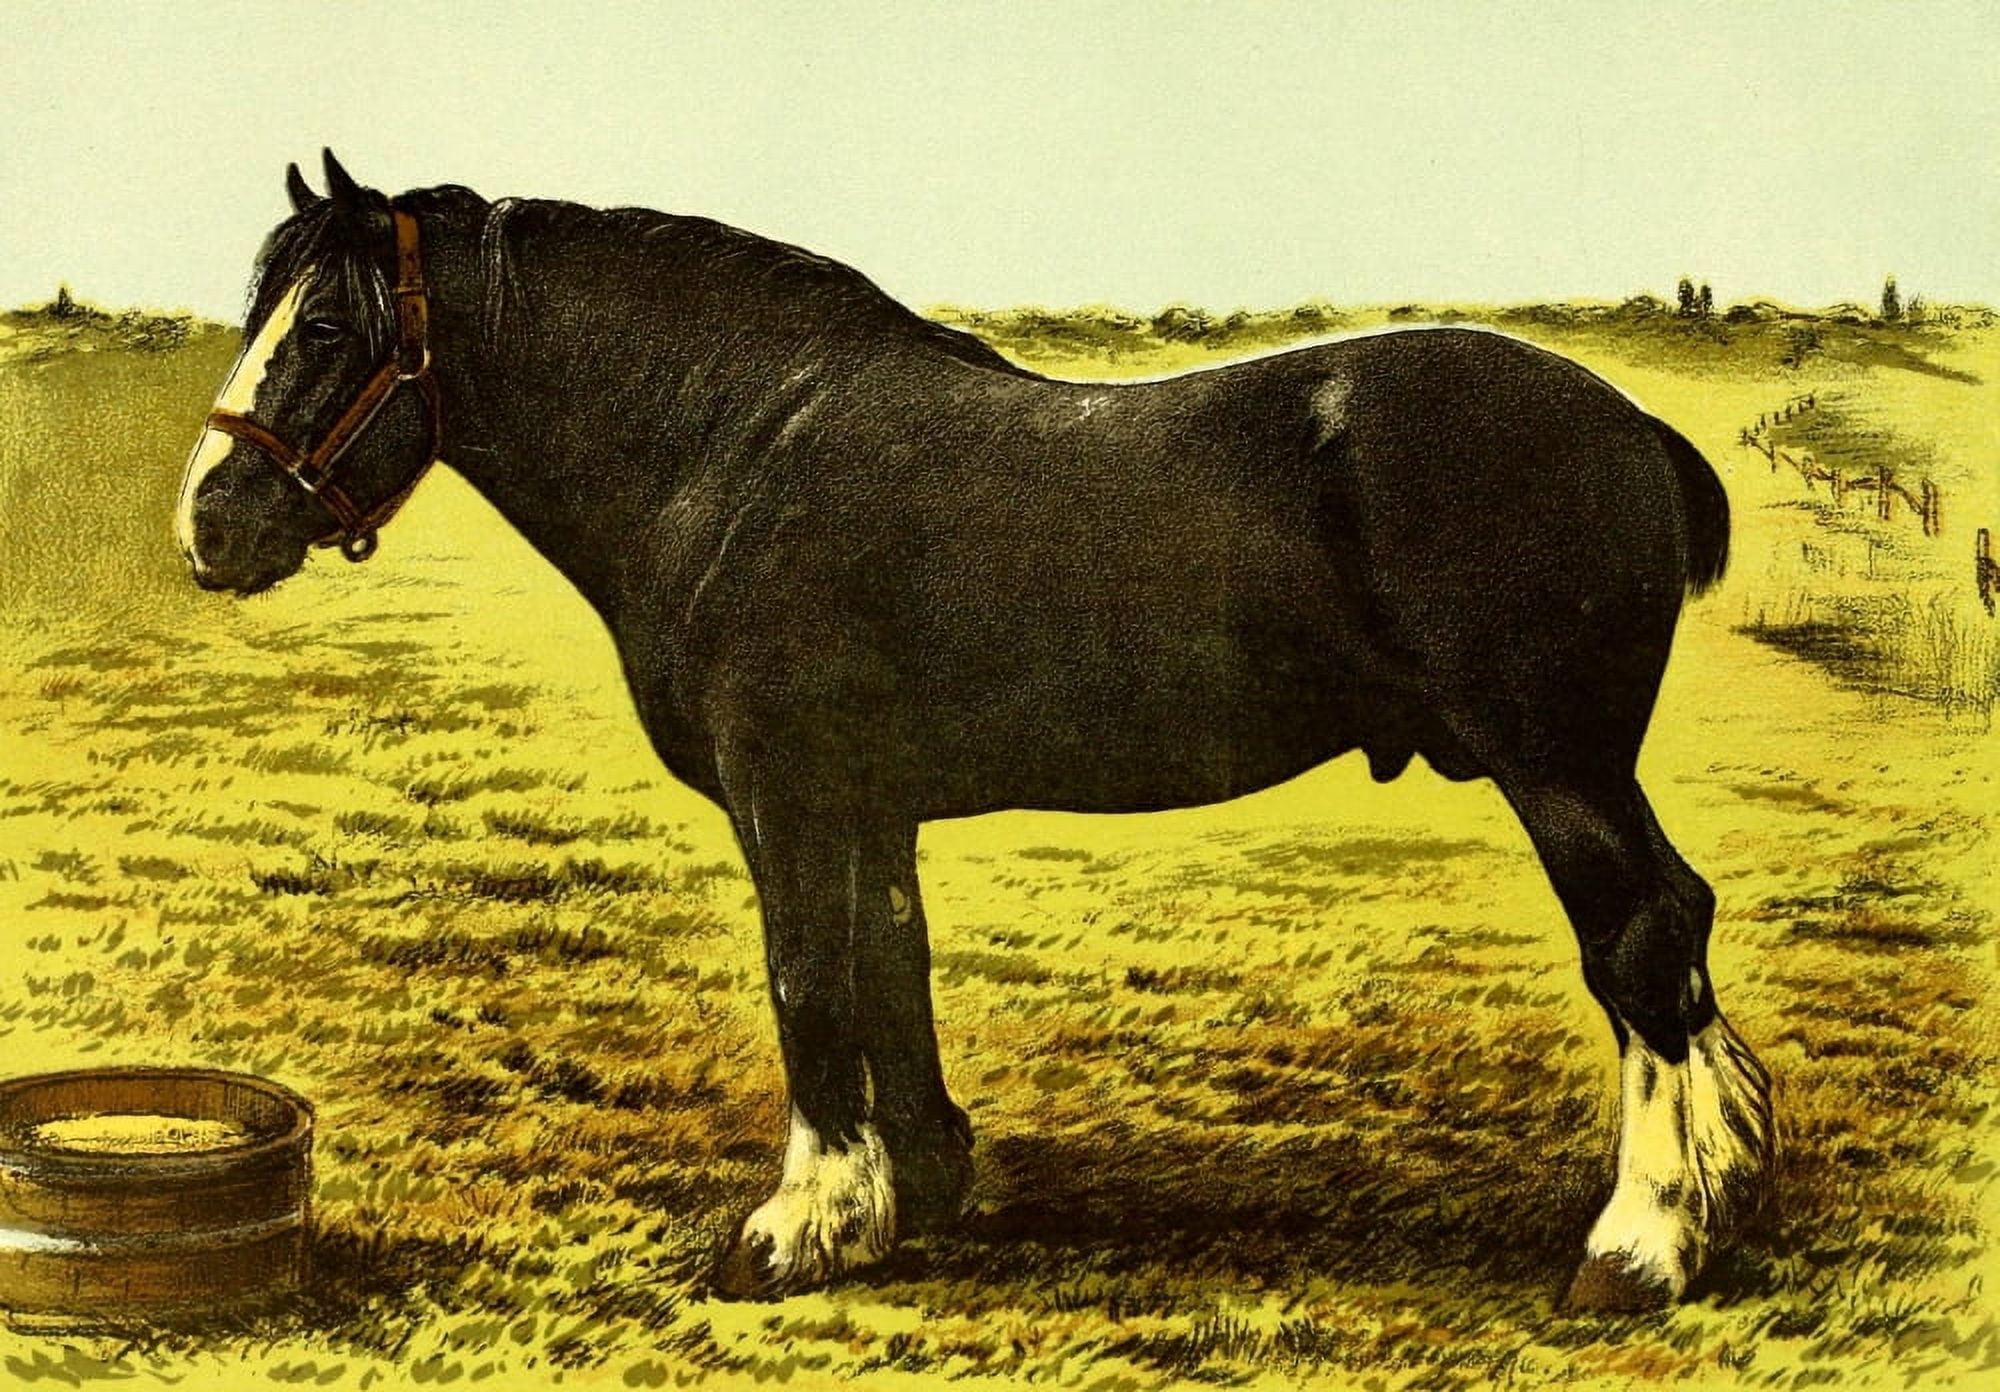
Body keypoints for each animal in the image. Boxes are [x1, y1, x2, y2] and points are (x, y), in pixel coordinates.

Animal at [177, 151, 1773, 1310]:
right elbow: (893, 970)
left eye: (327, 327)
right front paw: (915, 1193)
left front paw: (793, 1230)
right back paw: (1726, 1175)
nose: (210, 524)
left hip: (1556, 767)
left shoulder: (788, 793)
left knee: (1639, 945)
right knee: (1679, 929)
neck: (731, 448)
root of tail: (1631, 429)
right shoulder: (870, 804)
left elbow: (809, 983)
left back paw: (1640, 1246)